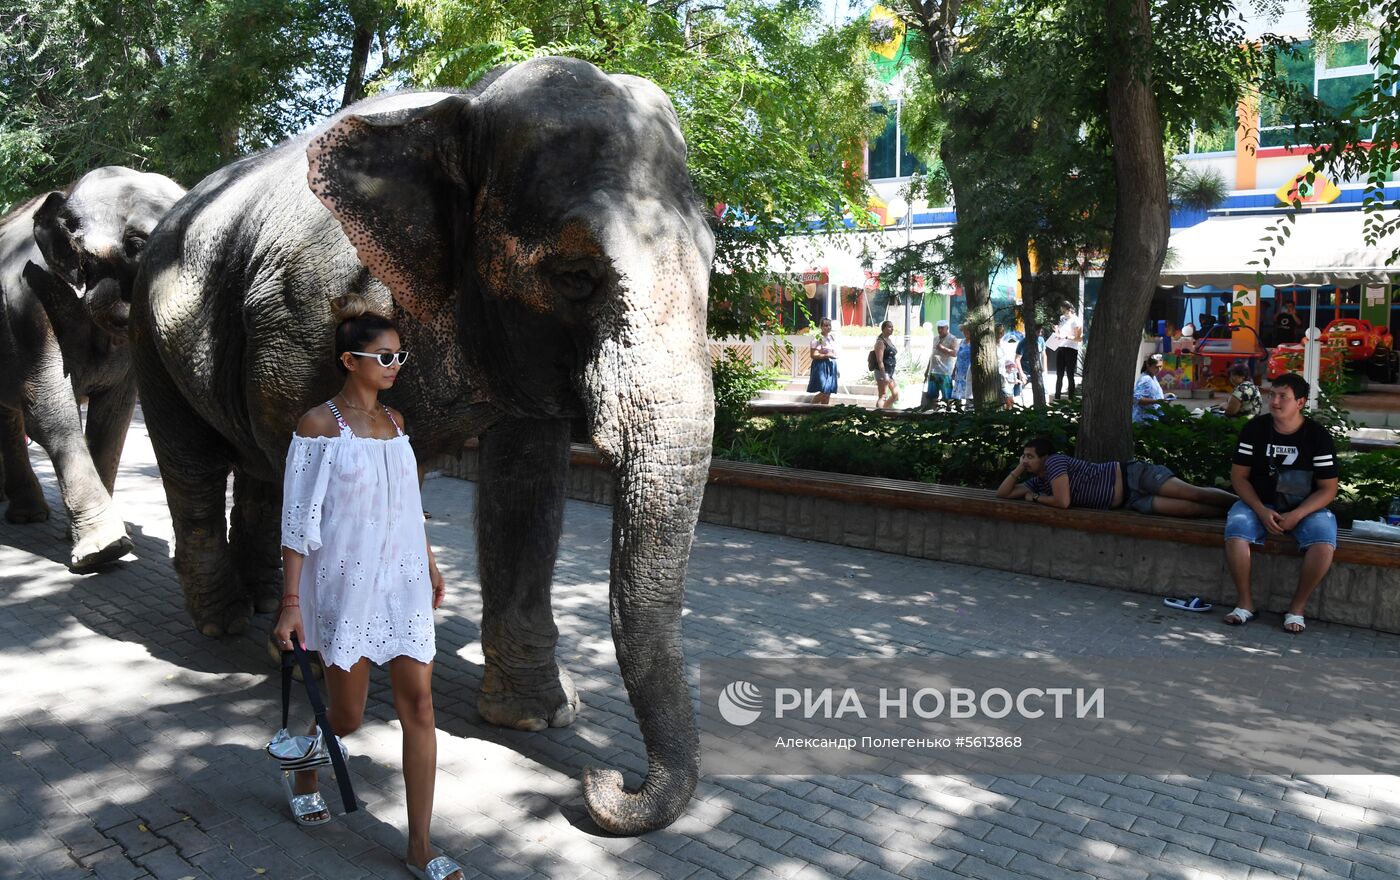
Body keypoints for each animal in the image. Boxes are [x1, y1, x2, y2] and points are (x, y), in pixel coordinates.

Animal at [0, 165, 186, 565]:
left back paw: (26, 514)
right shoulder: (25, 300)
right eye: (135, 245)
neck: (69, 194)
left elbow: (114, 416)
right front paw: (104, 550)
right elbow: (48, 409)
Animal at [131, 60, 716, 828]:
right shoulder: (299, 315)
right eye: (576, 277)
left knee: (256, 468)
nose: (605, 782)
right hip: (147, 331)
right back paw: (225, 625)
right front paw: (325, 658)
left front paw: (538, 718)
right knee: (194, 464)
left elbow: (527, 485)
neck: (463, 111)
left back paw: (260, 609)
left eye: (713, 266)